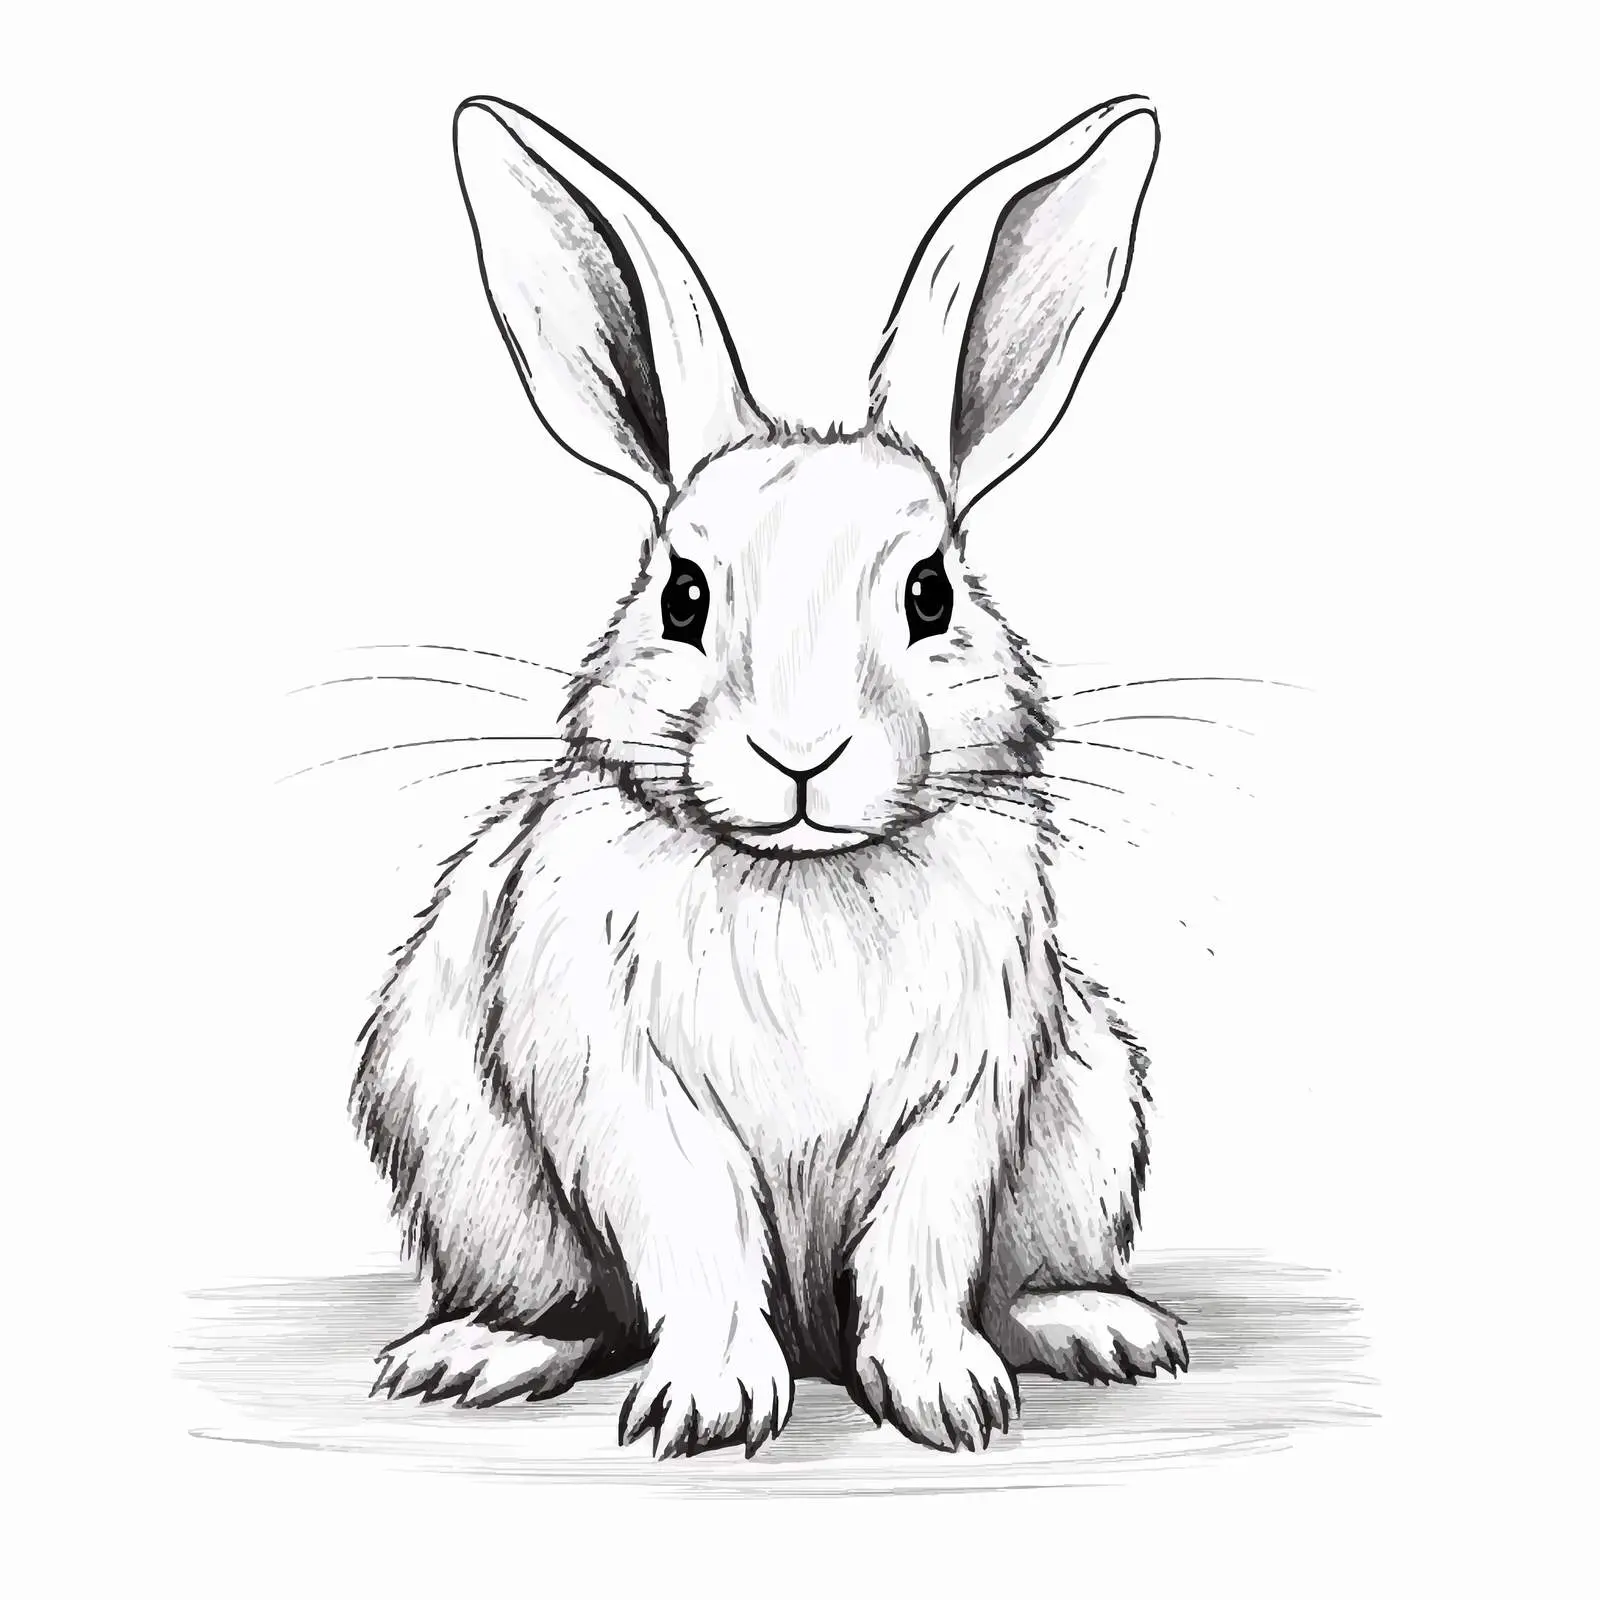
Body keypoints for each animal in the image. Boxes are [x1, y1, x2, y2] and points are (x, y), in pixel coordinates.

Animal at [352, 92, 1187, 1458]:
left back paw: (1101, 1328)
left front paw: (948, 1401)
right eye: (682, 597)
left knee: (1022, 1277)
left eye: (929, 594)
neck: (802, 878)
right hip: (471, 1176)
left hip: (1092, 1113)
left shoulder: (964, 1097)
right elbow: (695, 1235)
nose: (801, 755)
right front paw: (707, 1405)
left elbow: (920, 1250)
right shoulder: (627, 1087)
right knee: (559, 1304)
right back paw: (471, 1354)